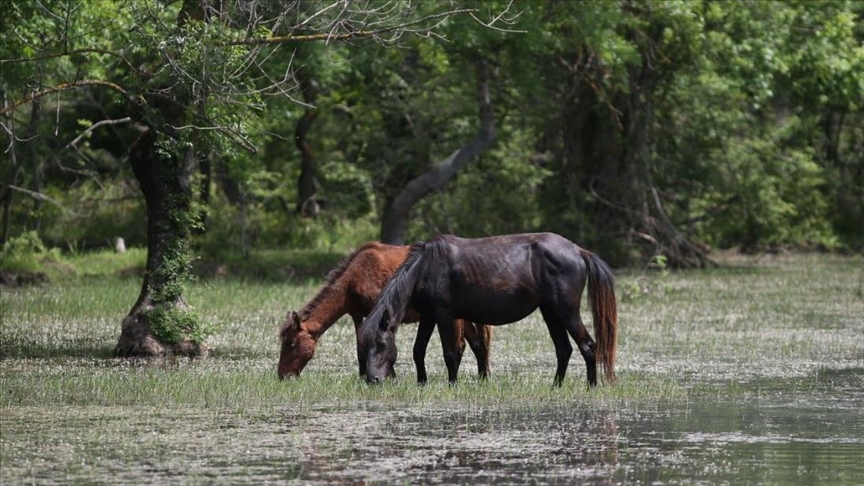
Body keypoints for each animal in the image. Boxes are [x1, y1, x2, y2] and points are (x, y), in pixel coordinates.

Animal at [277, 242, 492, 383]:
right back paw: (483, 376)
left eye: (292, 343)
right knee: (476, 343)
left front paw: (388, 376)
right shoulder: (358, 316)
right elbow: (360, 348)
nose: (282, 376)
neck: (355, 279)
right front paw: (364, 376)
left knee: (469, 343)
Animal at [359, 233, 617, 388]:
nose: (373, 379)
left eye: (382, 344)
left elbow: (450, 353)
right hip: (550, 312)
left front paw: (452, 385)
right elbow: (418, 350)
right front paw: (422, 383)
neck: (426, 267)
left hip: (566, 311)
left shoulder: (444, 316)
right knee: (564, 349)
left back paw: (591, 386)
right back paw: (556, 386)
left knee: (588, 346)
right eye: (365, 345)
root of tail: (578, 251)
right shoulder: (429, 317)